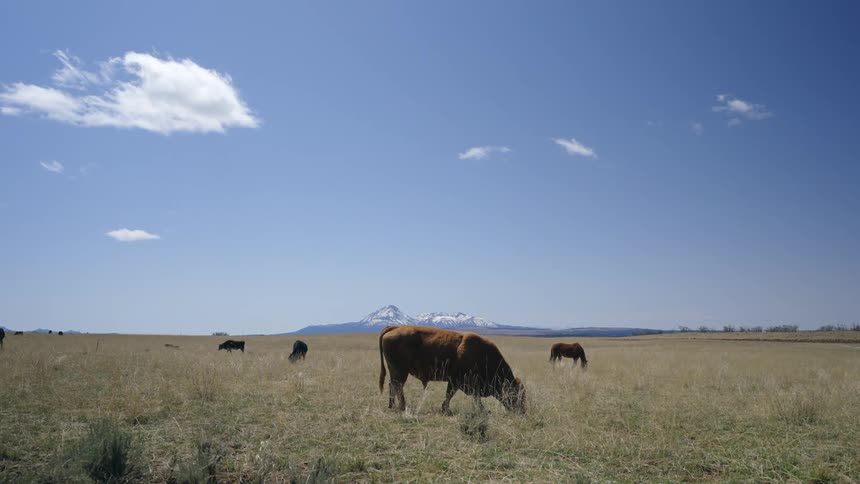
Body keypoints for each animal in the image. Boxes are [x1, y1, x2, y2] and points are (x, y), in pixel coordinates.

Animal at [379, 326, 525, 414]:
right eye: (516, 394)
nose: (522, 411)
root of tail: (395, 327)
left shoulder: (459, 383)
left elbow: (463, 396)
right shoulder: (456, 381)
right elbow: (451, 395)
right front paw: (446, 410)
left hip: (396, 372)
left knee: (392, 385)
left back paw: (392, 405)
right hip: (401, 372)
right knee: (398, 386)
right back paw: (403, 406)